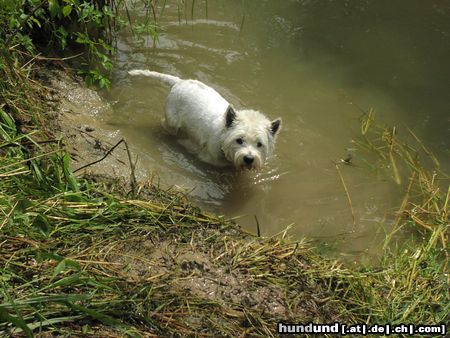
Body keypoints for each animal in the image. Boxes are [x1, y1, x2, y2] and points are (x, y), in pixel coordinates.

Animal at [128, 68, 280, 170]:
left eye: (259, 144)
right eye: (239, 140)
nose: (249, 159)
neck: (223, 137)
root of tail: (180, 82)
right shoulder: (207, 158)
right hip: (172, 120)